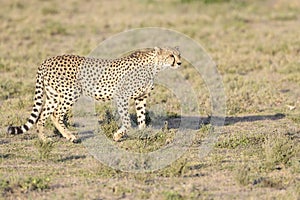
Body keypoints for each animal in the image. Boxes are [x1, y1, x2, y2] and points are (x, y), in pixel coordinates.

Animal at [7, 46, 180, 142]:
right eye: (171, 55)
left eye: (178, 54)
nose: (179, 62)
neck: (154, 66)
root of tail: (48, 60)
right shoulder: (122, 97)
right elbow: (127, 122)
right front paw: (118, 136)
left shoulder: (140, 98)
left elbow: (142, 118)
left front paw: (143, 134)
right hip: (70, 93)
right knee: (56, 114)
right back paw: (70, 137)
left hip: (53, 95)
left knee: (42, 115)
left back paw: (44, 139)